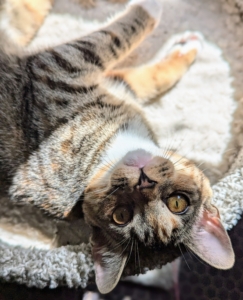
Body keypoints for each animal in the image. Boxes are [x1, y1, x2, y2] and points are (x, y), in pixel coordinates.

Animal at [0, 0, 235, 294]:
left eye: (120, 216)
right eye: (178, 202)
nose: (144, 181)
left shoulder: (65, 66)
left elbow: (124, 46)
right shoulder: (80, 72)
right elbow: (136, 58)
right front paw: (179, 41)